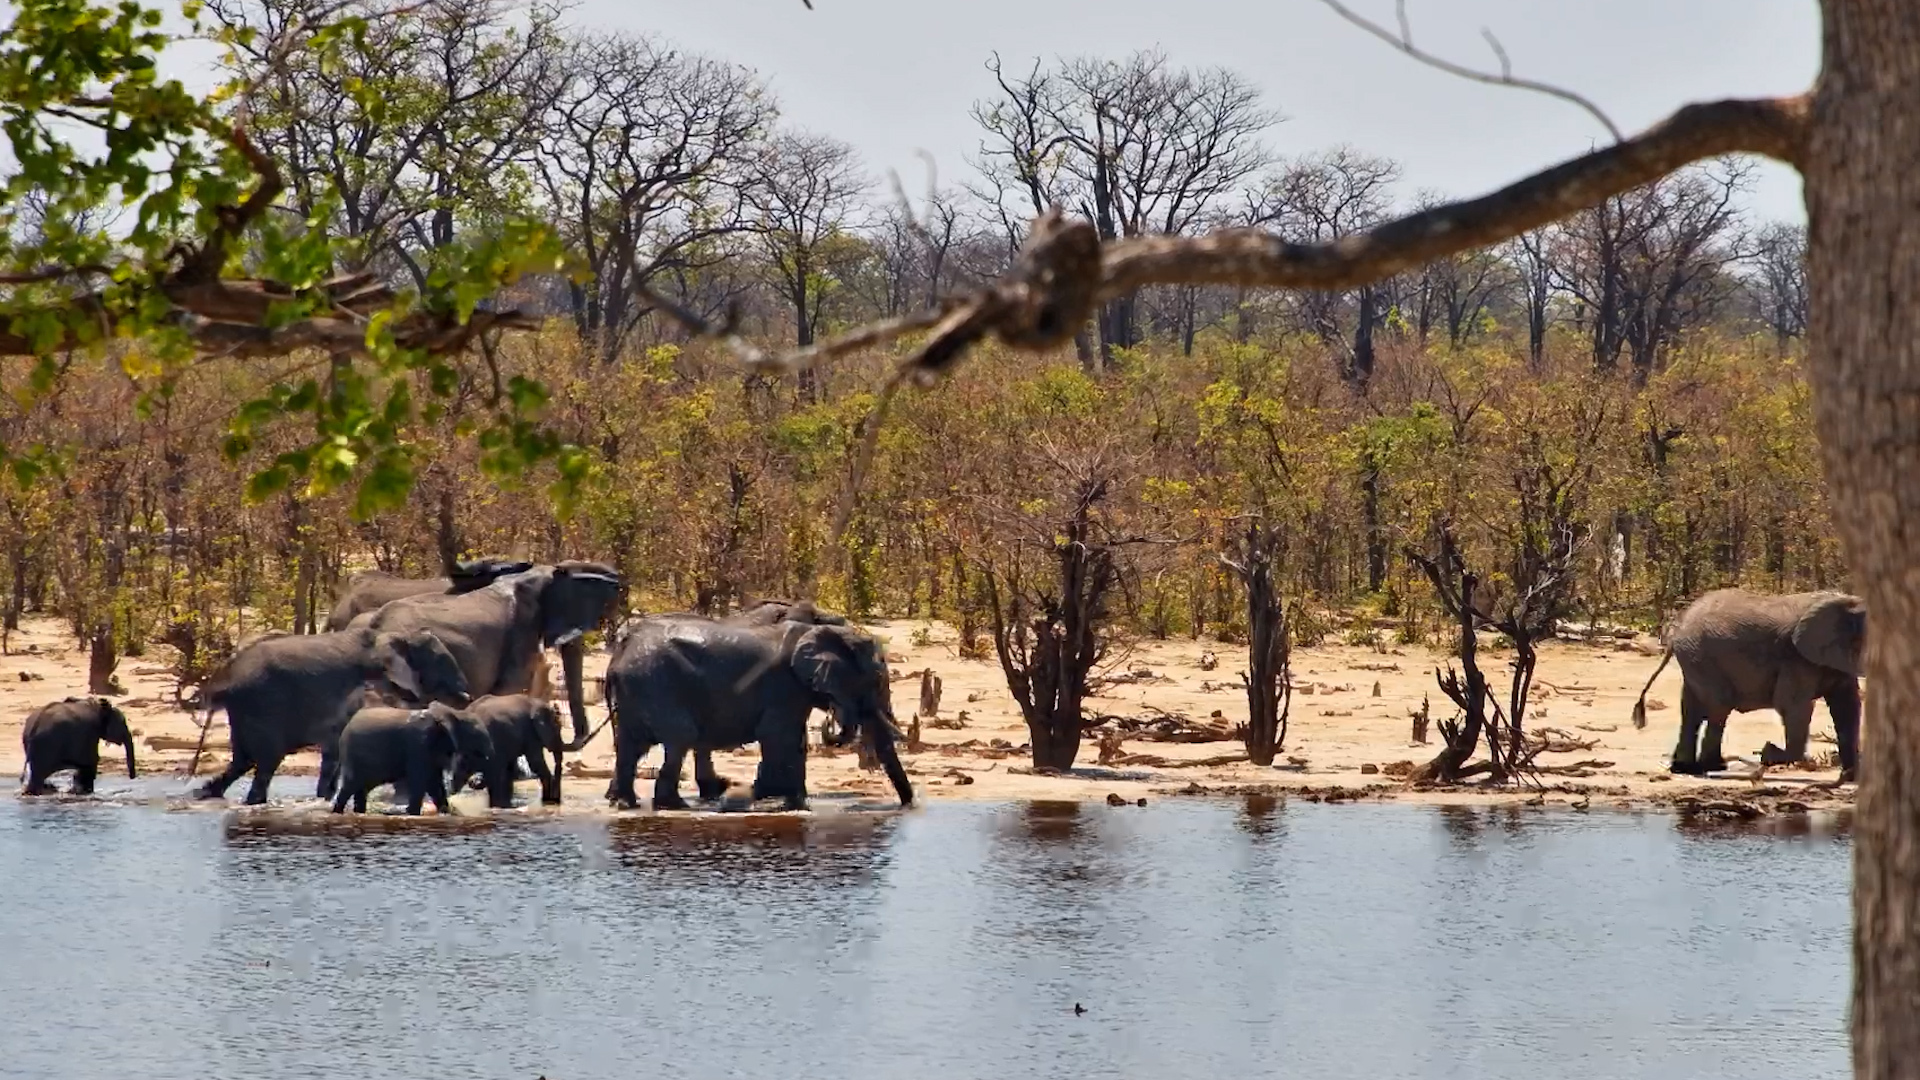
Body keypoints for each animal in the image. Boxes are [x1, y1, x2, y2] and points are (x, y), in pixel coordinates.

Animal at [193, 627, 473, 805]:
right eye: (440, 661)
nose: (467, 698)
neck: (399, 635)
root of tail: (228, 682)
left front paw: (323, 798)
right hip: (263, 704)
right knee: (266, 761)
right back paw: (252, 802)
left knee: (242, 760)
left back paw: (205, 794)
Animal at [330, 705, 493, 815]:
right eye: (476, 734)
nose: (476, 779)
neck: (453, 712)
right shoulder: (419, 744)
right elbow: (420, 779)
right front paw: (413, 813)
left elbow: (434, 783)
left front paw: (446, 813)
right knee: (350, 786)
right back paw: (337, 812)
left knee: (361, 789)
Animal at [604, 615, 913, 811]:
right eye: (877, 681)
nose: (908, 806)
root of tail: (619, 653)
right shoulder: (783, 686)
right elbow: (778, 737)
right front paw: (768, 799)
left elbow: (796, 741)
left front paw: (797, 805)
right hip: (655, 684)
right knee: (681, 736)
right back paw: (674, 805)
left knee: (630, 745)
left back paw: (624, 803)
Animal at [1633, 588, 1864, 781]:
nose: (1849, 775)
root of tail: (1676, 631)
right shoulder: (1796, 659)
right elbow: (1792, 705)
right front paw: (1768, 752)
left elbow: (1847, 707)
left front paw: (1851, 778)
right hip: (1701, 656)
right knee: (1718, 708)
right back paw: (1710, 767)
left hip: (1693, 659)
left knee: (1691, 711)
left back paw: (1686, 768)